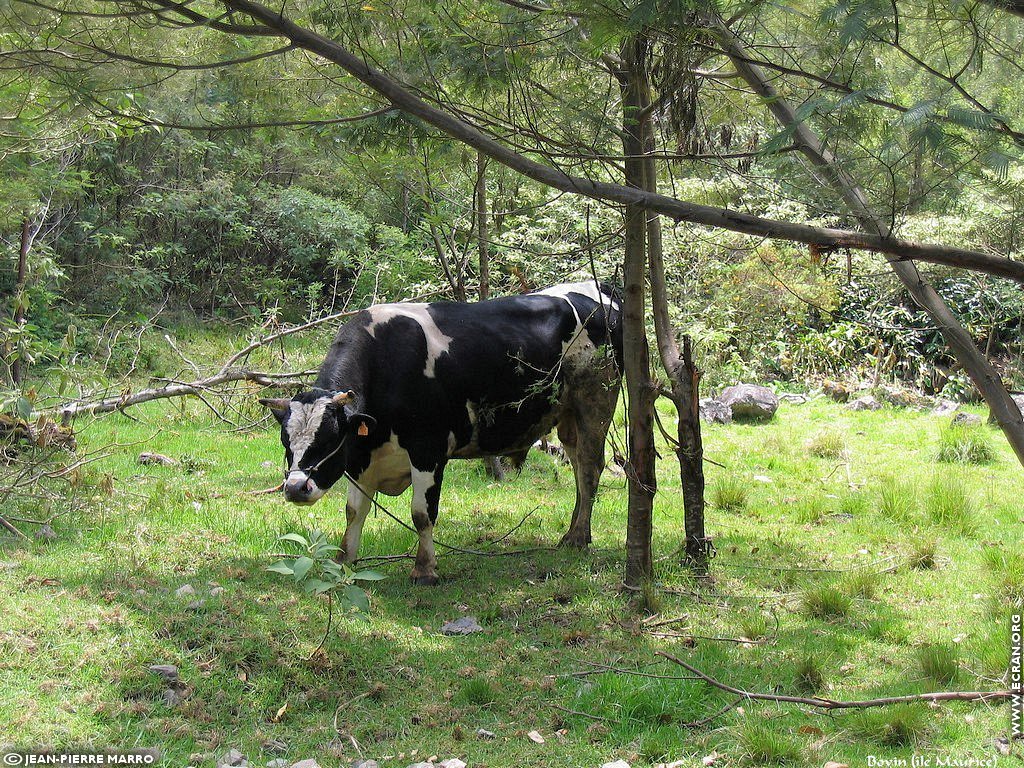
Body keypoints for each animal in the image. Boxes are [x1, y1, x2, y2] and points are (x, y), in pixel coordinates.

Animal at [260, 280, 618, 581]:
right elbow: (354, 511)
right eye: (285, 442)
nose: (295, 488)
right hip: (567, 415)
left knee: (590, 468)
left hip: (597, 399)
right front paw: (344, 561)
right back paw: (574, 533)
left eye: (329, 438)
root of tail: (599, 286)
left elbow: (422, 513)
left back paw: (577, 538)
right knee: (578, 468)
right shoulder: (362, 457)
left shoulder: (427, 449)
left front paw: (425, 569)